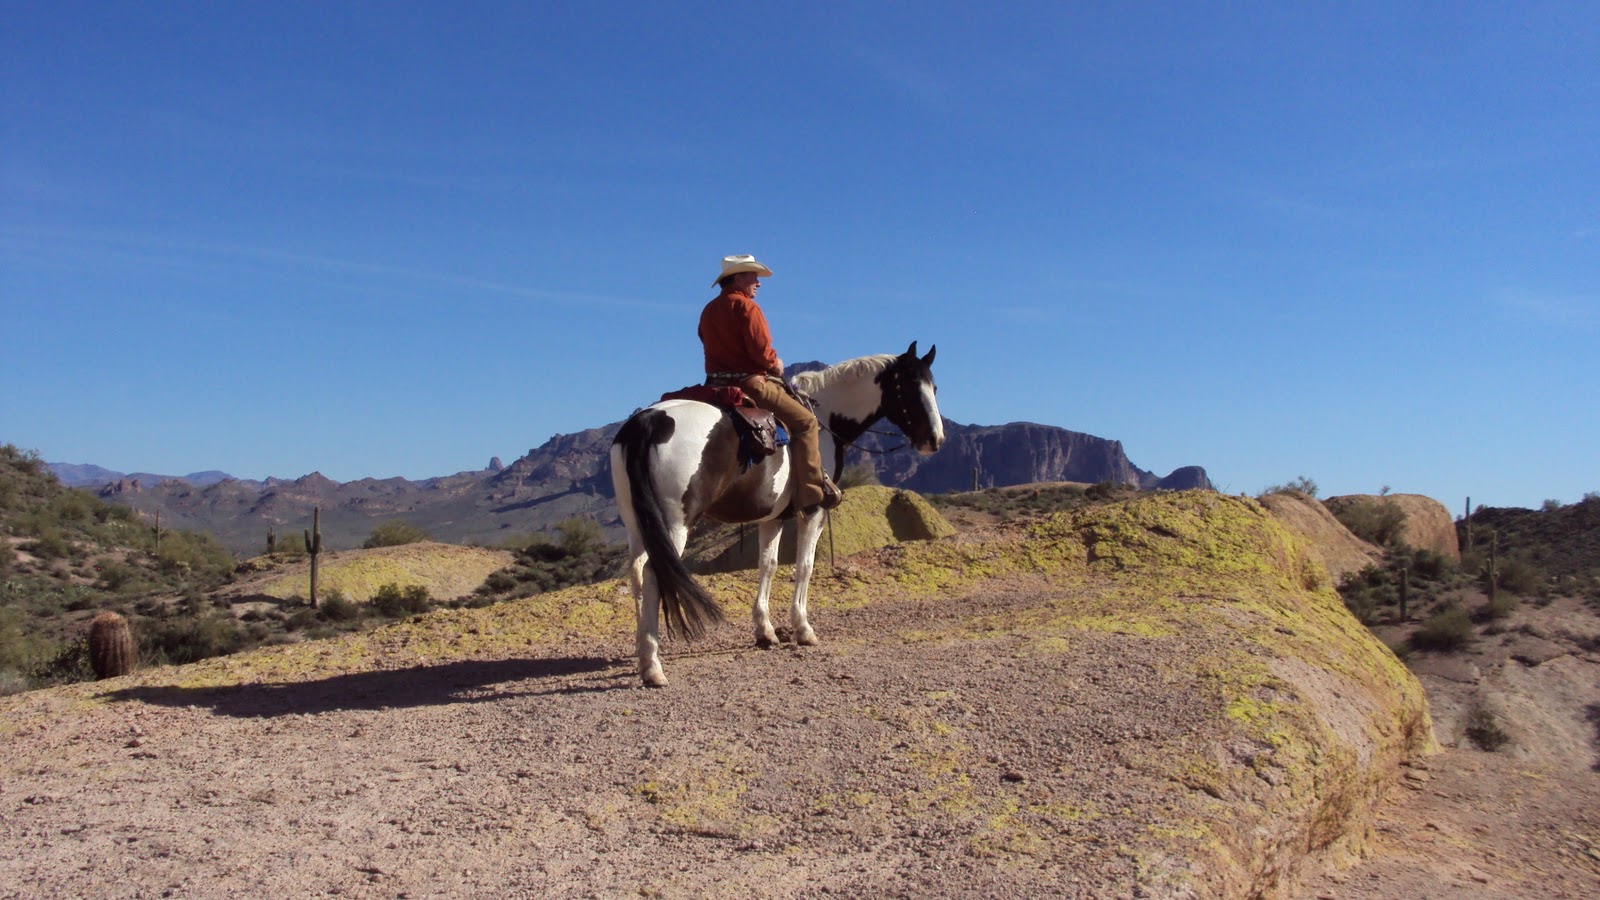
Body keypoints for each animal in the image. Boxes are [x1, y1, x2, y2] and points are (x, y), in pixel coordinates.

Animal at [609, 341, 944, 687]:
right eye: (910, 387)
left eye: (934, 388)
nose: (935, 439)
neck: (825, 418)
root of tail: (648, 422)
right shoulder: (813, 510)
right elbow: (805, 565)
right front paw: (803, 629)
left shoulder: (773, 517)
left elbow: (767, 565)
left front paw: (765, 631)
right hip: (676, 525)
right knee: (653, 573)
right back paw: (653, 667)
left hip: (638, 523)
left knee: (637, 572)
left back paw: (643, 650)